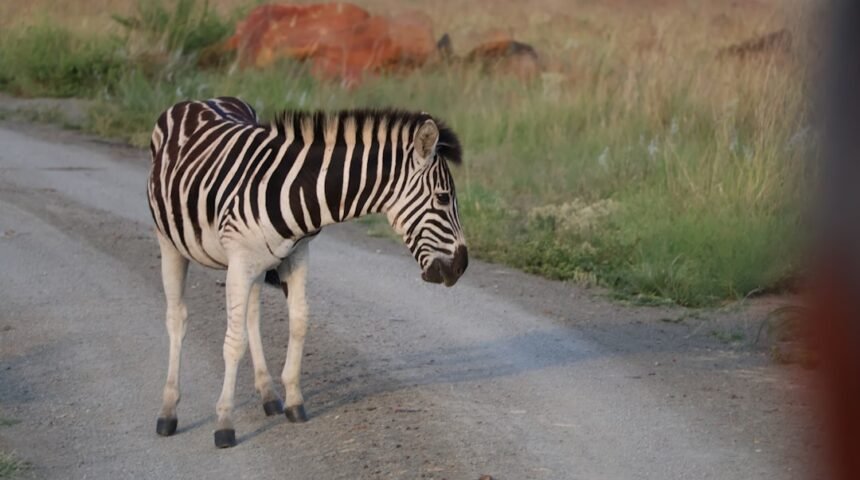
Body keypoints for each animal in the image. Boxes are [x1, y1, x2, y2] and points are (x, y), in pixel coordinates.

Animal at [147, 97, 468, 448]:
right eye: (443, 198)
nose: (462, 265)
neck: (294, 189)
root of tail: (197, 101)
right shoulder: (240, 260)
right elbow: (233, 342)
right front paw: (224, 423)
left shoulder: (295, 255)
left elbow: (299, 323)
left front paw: (293, 401)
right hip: (170, 243)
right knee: (177, 319)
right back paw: (167, 412)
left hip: (255, 262)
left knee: (252, 315)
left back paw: (268, 395)